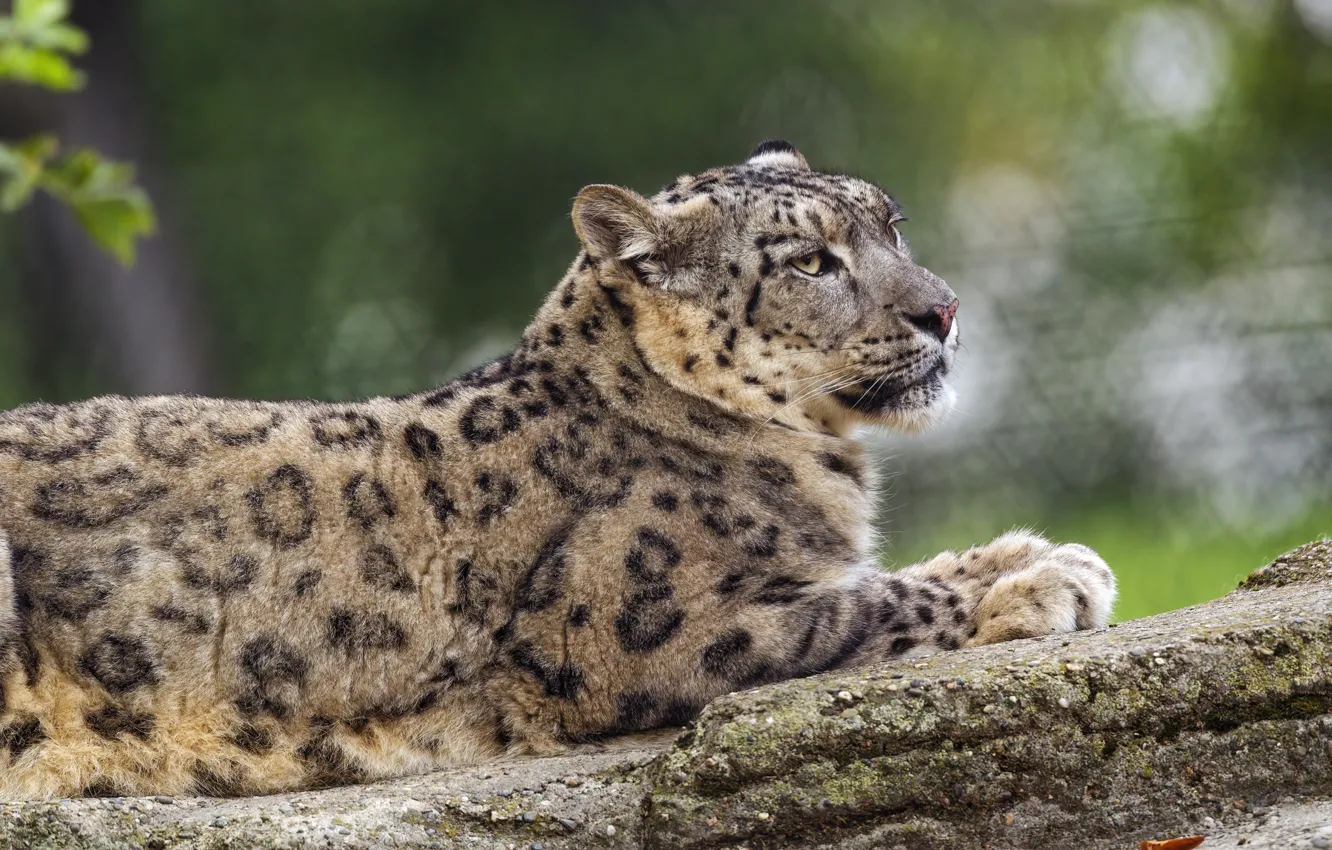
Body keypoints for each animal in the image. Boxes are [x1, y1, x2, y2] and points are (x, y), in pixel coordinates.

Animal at [0, 140, 1115, 799]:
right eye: (810, 262)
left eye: (893, 223)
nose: (944, 310)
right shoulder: (672, 629)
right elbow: (867, 605)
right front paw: (1044, 584)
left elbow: (896, 570)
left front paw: (1039, 554)